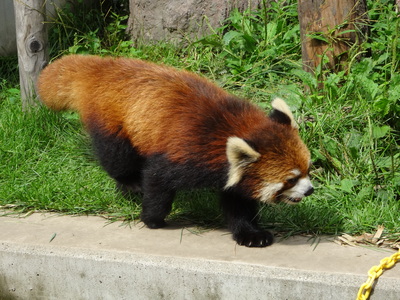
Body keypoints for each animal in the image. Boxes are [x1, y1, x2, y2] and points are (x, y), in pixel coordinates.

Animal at [37, 55, 314, 247]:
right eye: (290, 180)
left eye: (308, 170)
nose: (310, 190)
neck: (231, 128)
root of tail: (103, 68)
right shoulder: (185, 152)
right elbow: (157, 178)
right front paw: (152, 218)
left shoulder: (233, 173)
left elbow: (238, 203)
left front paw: (251, 234)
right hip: (112, 122)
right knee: (117, 158)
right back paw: (130, 184)